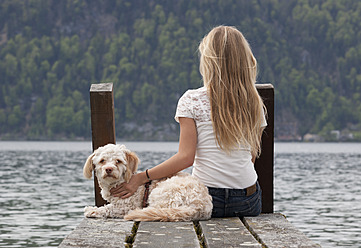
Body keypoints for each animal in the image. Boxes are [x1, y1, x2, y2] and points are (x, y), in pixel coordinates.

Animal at [82, 143, 211, 221]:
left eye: (118, 161)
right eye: (102, 161)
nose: (109, 169)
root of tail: (198, 207)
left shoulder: (125, 206)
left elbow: (108, 208)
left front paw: (92, 210)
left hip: (160, 192)